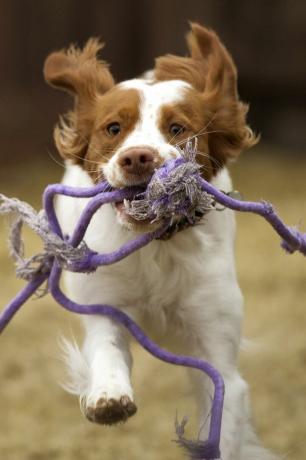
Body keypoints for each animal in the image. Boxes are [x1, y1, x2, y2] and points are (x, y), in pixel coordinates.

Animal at [43, 22, 280, 460]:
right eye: (113, 128)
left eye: (177, 128)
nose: (137, 157)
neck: (154, 244)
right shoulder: (104, 305)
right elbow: (107, 348)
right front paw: (109, 398)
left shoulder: (217, 352)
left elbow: (222, 415)